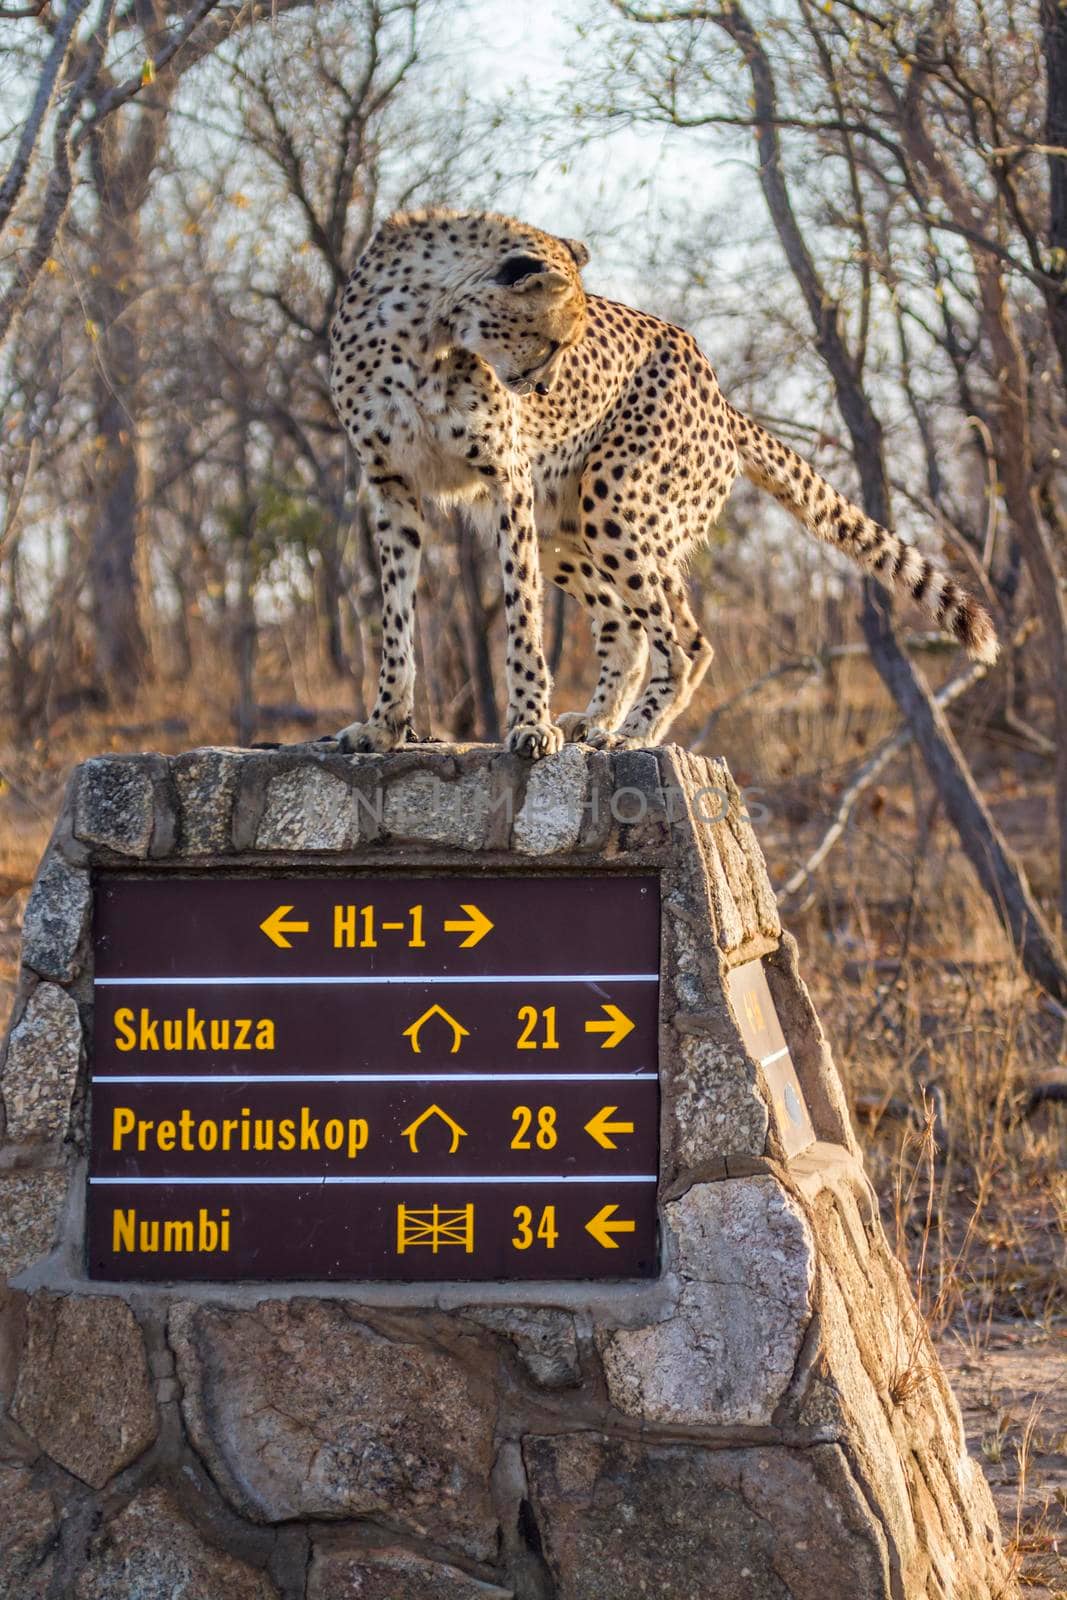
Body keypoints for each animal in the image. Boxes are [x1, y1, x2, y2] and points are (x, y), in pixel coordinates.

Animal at [327, 209, 1004, 758]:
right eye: (548, 339)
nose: (541, 389)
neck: (426, 330)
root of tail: (719, 390)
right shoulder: (391, 487)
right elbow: (395, 619)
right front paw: (384, 725)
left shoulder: (506, 480)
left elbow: (522, 615)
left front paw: (528, 724)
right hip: (565, 528)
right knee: (629, 628)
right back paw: (600, 723)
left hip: (612, 503)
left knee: (684, 641)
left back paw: (632, 734)